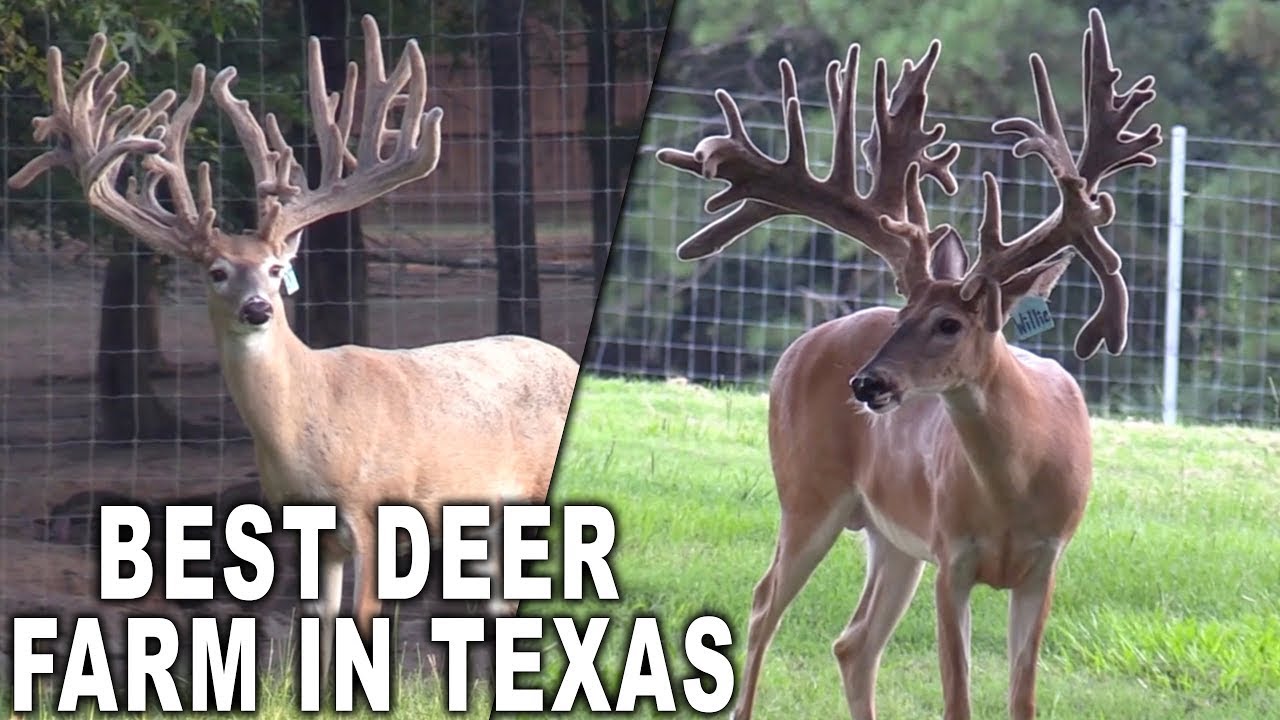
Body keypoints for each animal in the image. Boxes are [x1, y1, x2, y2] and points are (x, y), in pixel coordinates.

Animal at [8, 15, 579, 687]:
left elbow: (363, 620)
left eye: (278, 269)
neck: (313, 422)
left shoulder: (376, 509)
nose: (258, 308)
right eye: (217, 272)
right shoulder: (307, 528)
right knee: (497, 604)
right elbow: (318, 625)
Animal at [656, 9, 1159, 720]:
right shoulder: (952, 555)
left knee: (853, 641)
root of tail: (796, 349)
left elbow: (1022, 698)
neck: (1014, 486)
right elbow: (958, 697)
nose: (867, 382)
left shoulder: (1045, 562)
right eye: (900, 316)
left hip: (890, 538)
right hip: (807, 492)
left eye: (949, 323)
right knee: (762, 605)